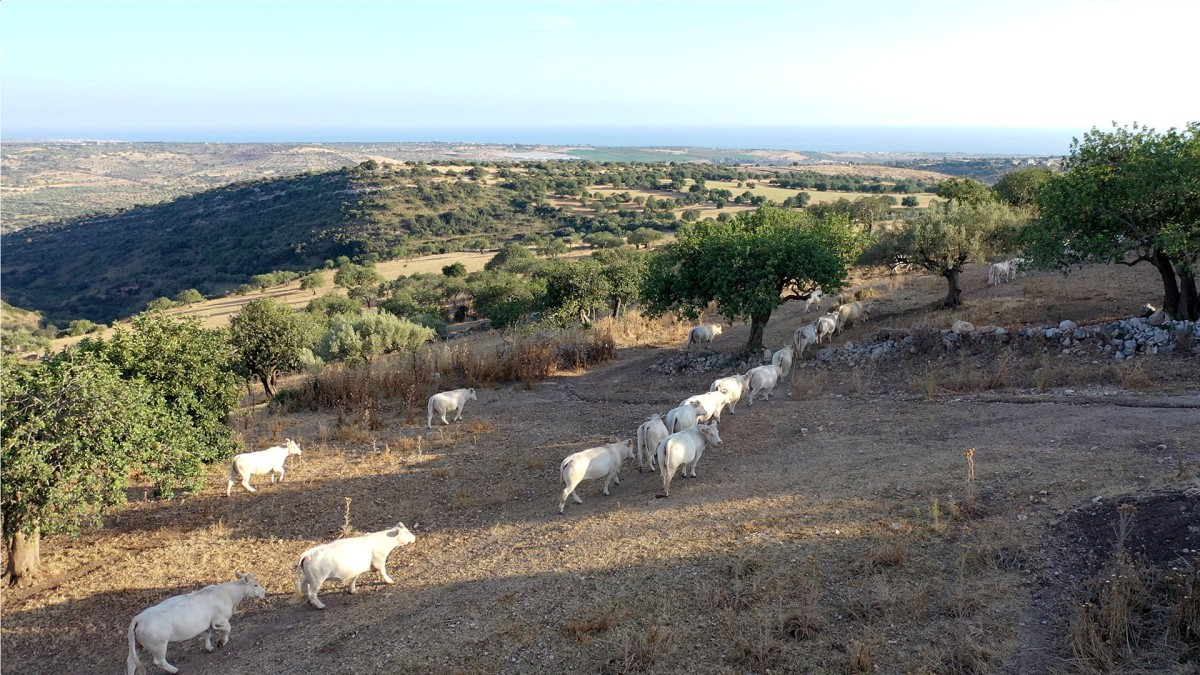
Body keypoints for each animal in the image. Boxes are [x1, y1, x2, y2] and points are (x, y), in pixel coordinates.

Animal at [127, 566, 265, 672]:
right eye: (255, 584)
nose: (264, 592)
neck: (228, 595)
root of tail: (138, 618)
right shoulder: (218, 620)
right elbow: (228, 628)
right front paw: (222, 642)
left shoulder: (208, 624)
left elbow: (207, 634)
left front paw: (209, 647)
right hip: (158, 644)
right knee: (159, 661)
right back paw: (175, 670)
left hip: (138, 645)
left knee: (131, 662)